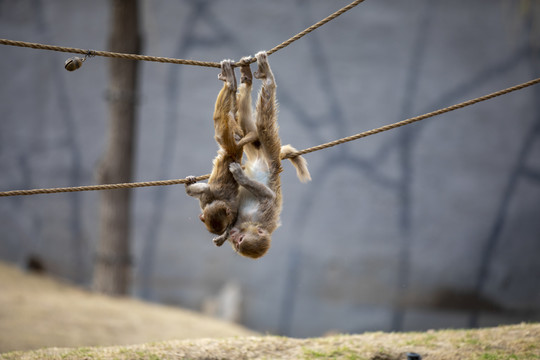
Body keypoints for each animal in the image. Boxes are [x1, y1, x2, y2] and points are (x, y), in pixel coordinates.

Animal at [212, 51, 310, 258]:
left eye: (240, 242)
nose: (234, 239)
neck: (252, 223)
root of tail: (271, 162)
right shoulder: (262, 213)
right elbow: (268, 196)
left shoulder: (255, 217)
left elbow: (261, 200)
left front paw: (223, 235)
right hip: (268, 152)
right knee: (263, 124)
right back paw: (263, 78)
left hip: (262, 152)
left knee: (254, 125)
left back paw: (248, 79)